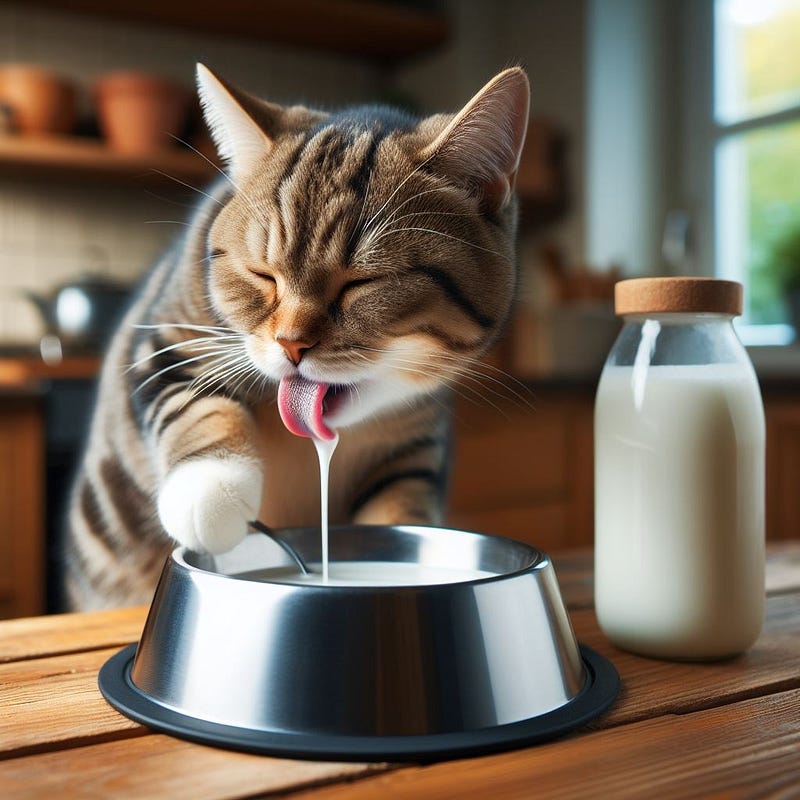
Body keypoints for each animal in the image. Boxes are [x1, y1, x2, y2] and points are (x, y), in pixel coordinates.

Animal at [64, 62, 532, 608]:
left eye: (361, 282)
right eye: (262, 274)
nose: (291, 343)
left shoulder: (413, 442)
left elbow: (400, 504)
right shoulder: (169, 332)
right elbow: (191, 399)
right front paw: (214, 492)